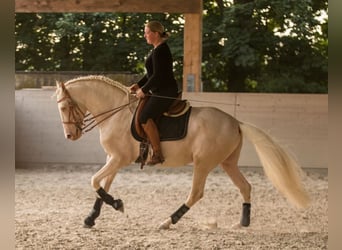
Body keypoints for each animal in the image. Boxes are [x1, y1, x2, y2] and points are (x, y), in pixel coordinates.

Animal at [54, 75, 312, 229]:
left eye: (65, 106)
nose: (69, 136)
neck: (116, 113)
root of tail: (235, 122)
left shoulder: (119, 159)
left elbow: (93, 181)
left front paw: (116, 205)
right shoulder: (113, 159)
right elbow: (101, 187)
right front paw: (93, 217)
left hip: (203, 164)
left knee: (196, 193)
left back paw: (168, 221)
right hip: (228, 163)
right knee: (245, 187)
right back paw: (243, 222)